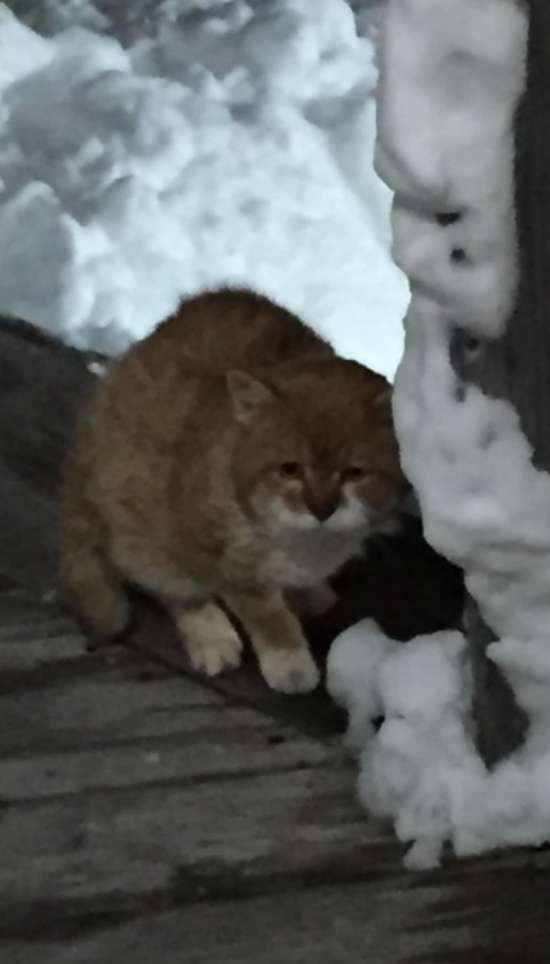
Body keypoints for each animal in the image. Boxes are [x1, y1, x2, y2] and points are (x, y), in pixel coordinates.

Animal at [60, 288, 406, 692]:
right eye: (290, 469)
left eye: (354, 473)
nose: (321, 509)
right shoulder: (208, 547)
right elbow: (260, 608)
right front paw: (288, 662)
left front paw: (308, 591)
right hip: (132, 510)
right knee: (164, 582)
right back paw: (210, 635)